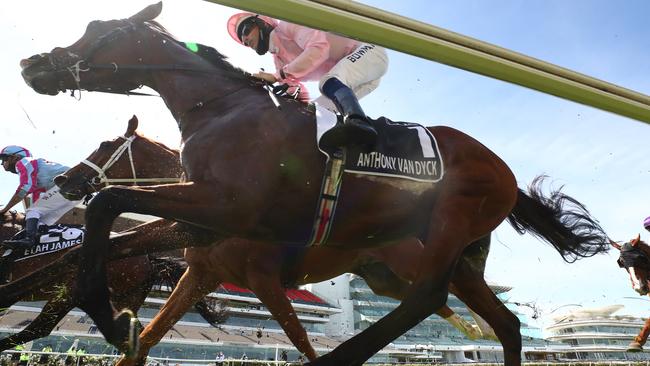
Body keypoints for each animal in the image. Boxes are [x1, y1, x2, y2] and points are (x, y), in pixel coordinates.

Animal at [58, 113, 494, 362]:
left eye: (105, 145)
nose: (63, 179)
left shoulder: (263, 280)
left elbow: (303, 342)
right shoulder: (201, 275)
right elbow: (149, 339)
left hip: (405, 263)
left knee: (450, 285)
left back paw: (480, 327)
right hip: (379, 278)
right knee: (427, 297)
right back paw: (475, 329)